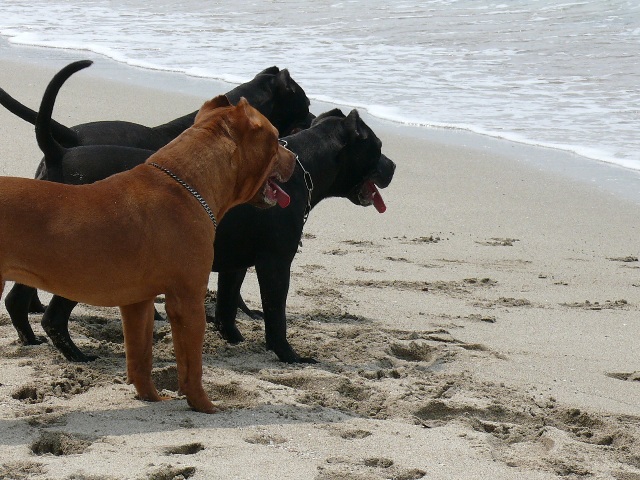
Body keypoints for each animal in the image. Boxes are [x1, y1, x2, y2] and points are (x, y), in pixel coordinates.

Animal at [0, 60, 297, 413]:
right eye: (277, 139)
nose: (296, 159)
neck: (186, 183)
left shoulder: (137, 302)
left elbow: (140, 357)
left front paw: (150, 397)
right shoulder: (188, 299)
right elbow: (191, 366)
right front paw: (204, 405)